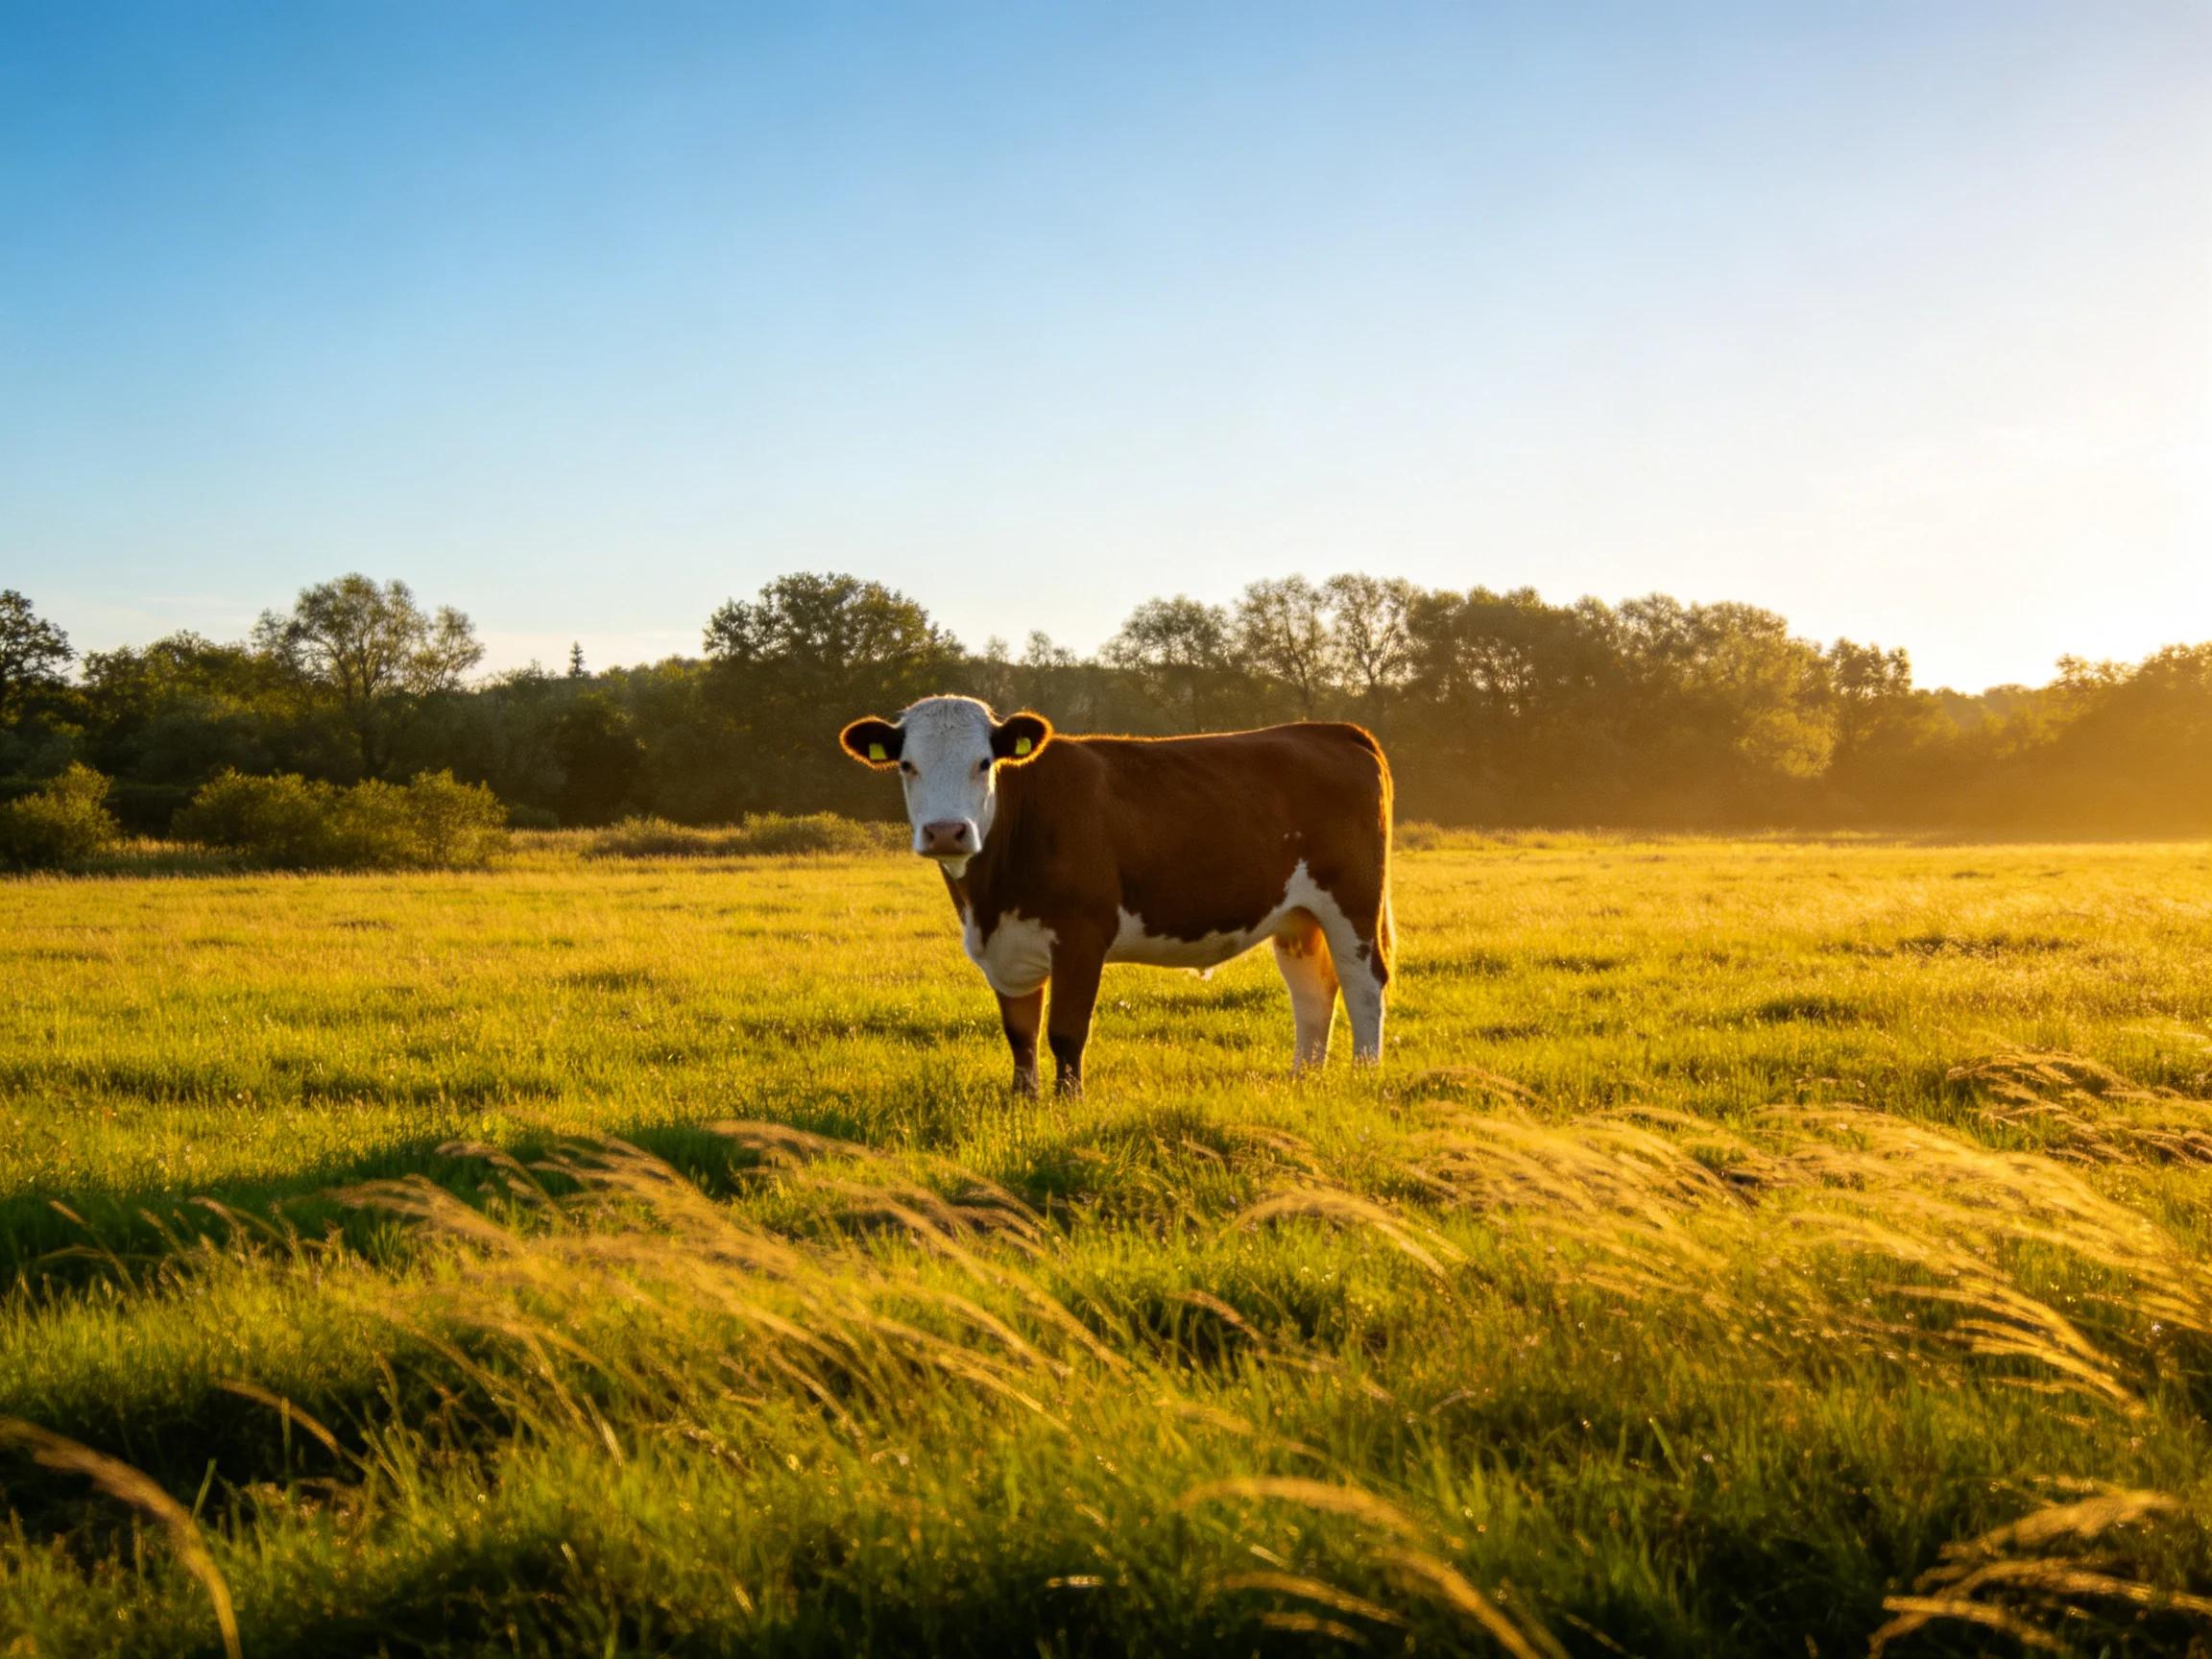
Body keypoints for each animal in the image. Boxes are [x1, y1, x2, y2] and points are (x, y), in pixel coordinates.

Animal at [838, 695, 1393, 1096]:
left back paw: (1364, 1077)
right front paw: (1023, 1102)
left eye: (984, 762)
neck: (989, 899)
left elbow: (1065, 1032)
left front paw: (1067, 1105)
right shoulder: (1005, 949)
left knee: (1363, 982)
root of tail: (1326, 729)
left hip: (1353, 903)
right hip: (1297, 915)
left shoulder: (1082, 935)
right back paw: (1305, 1079)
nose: (946, 832)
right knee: (1311, 990)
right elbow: (1020, 1035)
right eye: (906, 765)